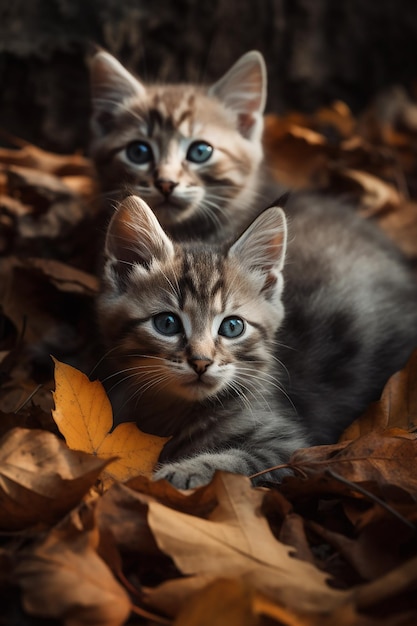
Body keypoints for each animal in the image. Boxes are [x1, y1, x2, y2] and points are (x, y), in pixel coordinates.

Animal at [96, 195, 416, 488]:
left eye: (232, 327)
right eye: (167, 323)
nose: (201, 362)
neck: (175, 409)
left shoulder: (292, 449)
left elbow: (235, 462)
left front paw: (182, 472)